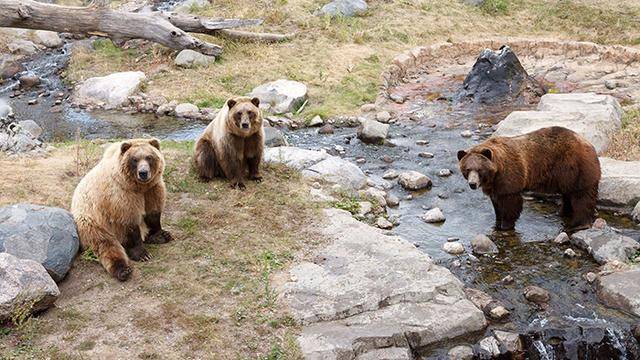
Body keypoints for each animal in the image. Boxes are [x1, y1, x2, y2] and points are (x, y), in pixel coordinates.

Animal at [70, 138, 172, 282]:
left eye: (149, 157)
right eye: (134, 159)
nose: (143, 173)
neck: (138, 187)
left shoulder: (152, 189)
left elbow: (153, 213)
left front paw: (162, 235)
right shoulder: (121, 197)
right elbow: (129, 223)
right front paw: (142, 254)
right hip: (93, 223)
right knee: (107, 246)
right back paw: (123, 270)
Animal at [460, 126, 600, 231]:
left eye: (479, 169)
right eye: (467, 169)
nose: (472, 184)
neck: (495, 174)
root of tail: (590, 145)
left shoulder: (509, 177)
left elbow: (510, 203)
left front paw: (505, 225)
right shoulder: (495, 186)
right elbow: (496, 204)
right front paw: (497, 222)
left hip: (575, 168)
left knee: (581, 196)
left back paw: (579, 223)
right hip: (567, 177)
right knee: (568, 194)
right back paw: (563, 212)